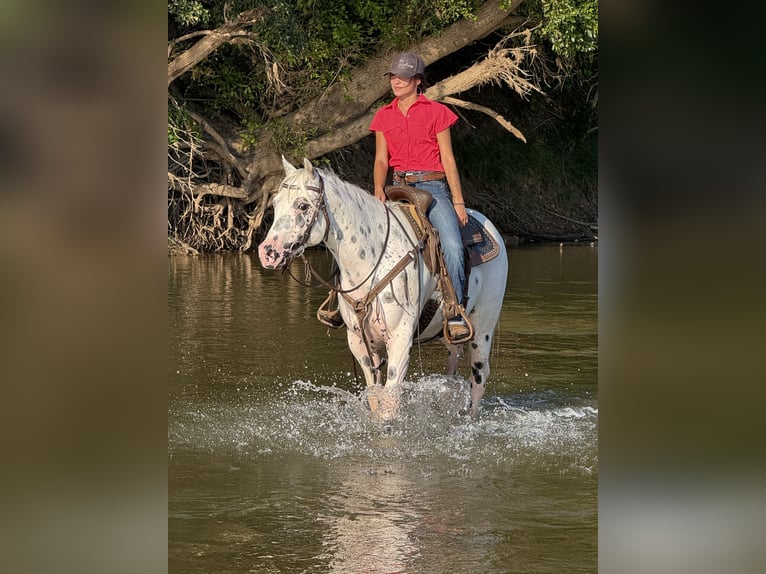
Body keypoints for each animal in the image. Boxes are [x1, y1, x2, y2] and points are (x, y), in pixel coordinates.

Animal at [258, 158, 508, 421]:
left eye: (303, 205)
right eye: (275, 203)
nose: (268, 252)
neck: (372, 260)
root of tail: (488, 225)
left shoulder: (400, 339)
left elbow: (389, 400)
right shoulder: (360, 342)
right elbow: (374, 396)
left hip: (482, 330)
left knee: (478, 378)